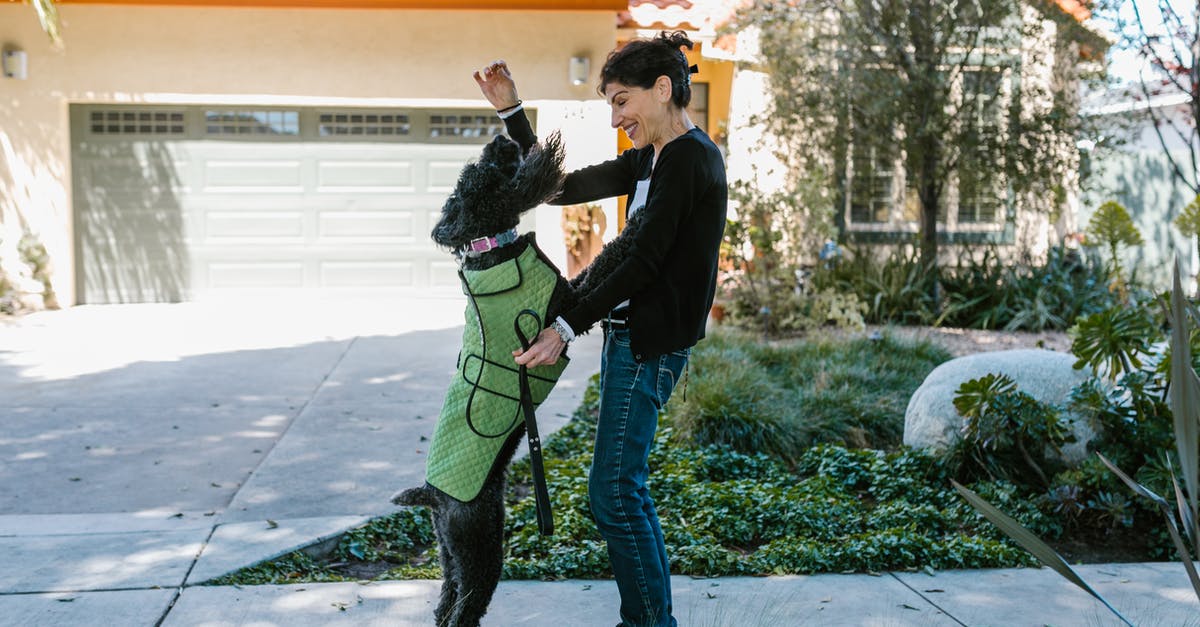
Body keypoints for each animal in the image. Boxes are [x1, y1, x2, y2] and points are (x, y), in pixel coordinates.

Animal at [391, 129, 648, 619]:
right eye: (486, 170)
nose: (501, 137)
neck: (490, 248)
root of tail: (432, 494)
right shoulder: (566, 303)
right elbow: (603, 264)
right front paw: (637, 224)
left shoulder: (566, 294)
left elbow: (593, 268)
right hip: (479, 548)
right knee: (463, 611)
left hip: (452, 551)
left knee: (444, 606)